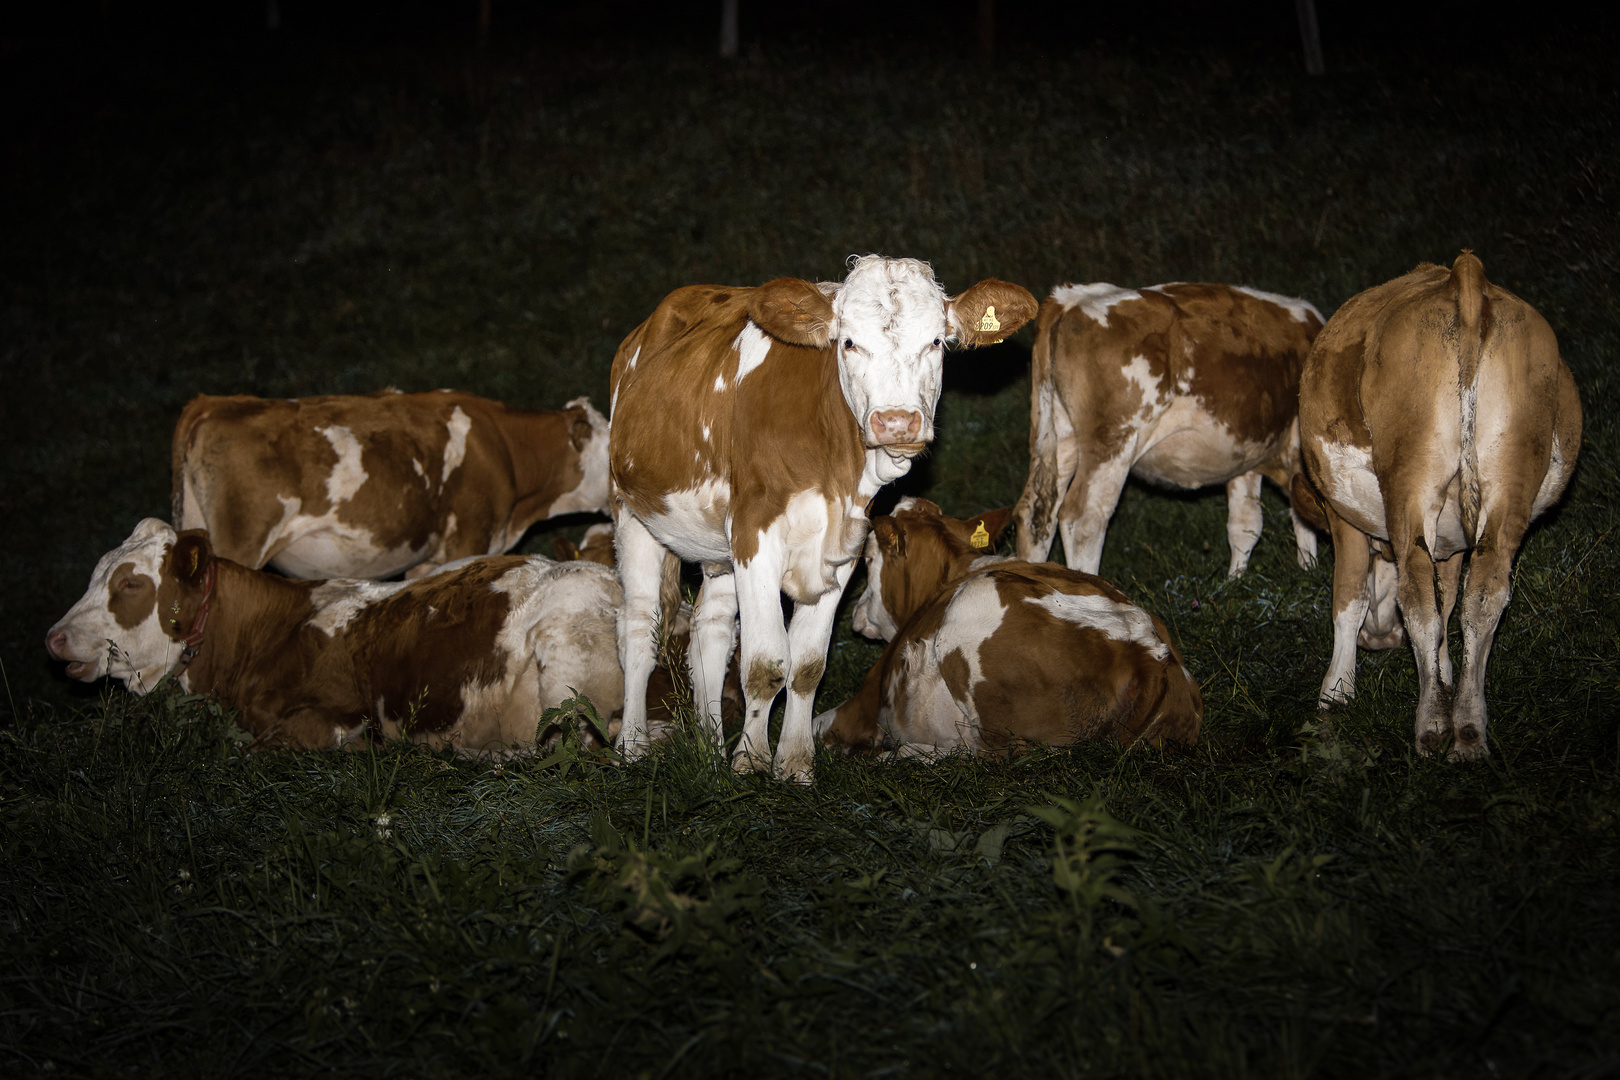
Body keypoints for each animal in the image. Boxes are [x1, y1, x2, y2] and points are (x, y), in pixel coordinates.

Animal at [816, 501, 1211, 757]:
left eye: (868, 560)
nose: (856, 613)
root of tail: (1148, 652)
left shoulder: (866, 703)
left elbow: (820, 725)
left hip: (974, 603)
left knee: (996, 757)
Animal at [1010, 283, 1328, 579]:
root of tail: (1073, 298)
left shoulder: (1246, 457)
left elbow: (1246, 525)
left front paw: (1235, 583)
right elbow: (1304, 516)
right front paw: (1310, 572)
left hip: (1058, 436)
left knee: (1036, 513)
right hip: (1113, 440)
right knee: (1084, 519)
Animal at [1302, 254, 1581, 761]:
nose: (1380, 640)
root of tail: (1464, 277)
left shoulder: (1340, 514)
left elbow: (1349, 595)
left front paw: (1335, 692)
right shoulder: (1452, 543)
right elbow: (1449, 596)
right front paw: (1447, 674)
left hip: (1409, 479)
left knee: (1416, 592)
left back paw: (1431, 725)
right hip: (1510, 481)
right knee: (1484, 592)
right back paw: (1467, 727)